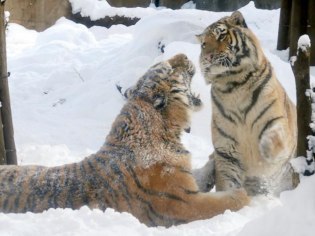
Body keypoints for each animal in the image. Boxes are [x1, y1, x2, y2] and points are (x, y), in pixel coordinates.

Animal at [0, 53, 249, 227]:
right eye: (170, 68)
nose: (185, 55)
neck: (167, 132)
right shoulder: (184, 202)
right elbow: (220, 203)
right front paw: (243, 195)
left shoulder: (185, 181)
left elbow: (202, 174)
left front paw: (214, 158)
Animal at [198, 11, 298, 195]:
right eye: (203, 44)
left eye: (221, 35)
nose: (207, 57)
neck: (233, 85)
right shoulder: (226, 150)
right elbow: (227, 184)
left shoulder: (277, 120)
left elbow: (274, 137)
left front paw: (265, 152)